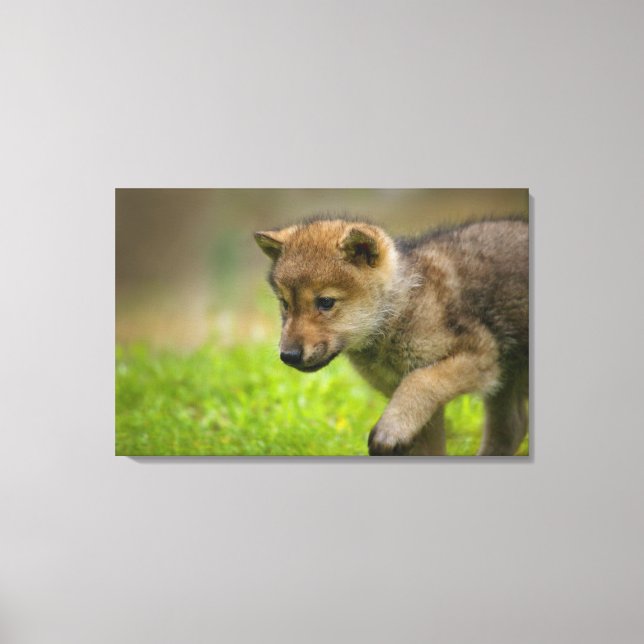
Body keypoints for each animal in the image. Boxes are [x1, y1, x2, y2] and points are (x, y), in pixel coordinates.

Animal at [254, 216, 529, 456]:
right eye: (285, 304)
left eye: (325, 302)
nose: (288, 355)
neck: (400, 309)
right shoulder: (423, 405)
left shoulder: (481, 356)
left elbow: (420, 381)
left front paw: (390, 429)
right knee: (511, 428)